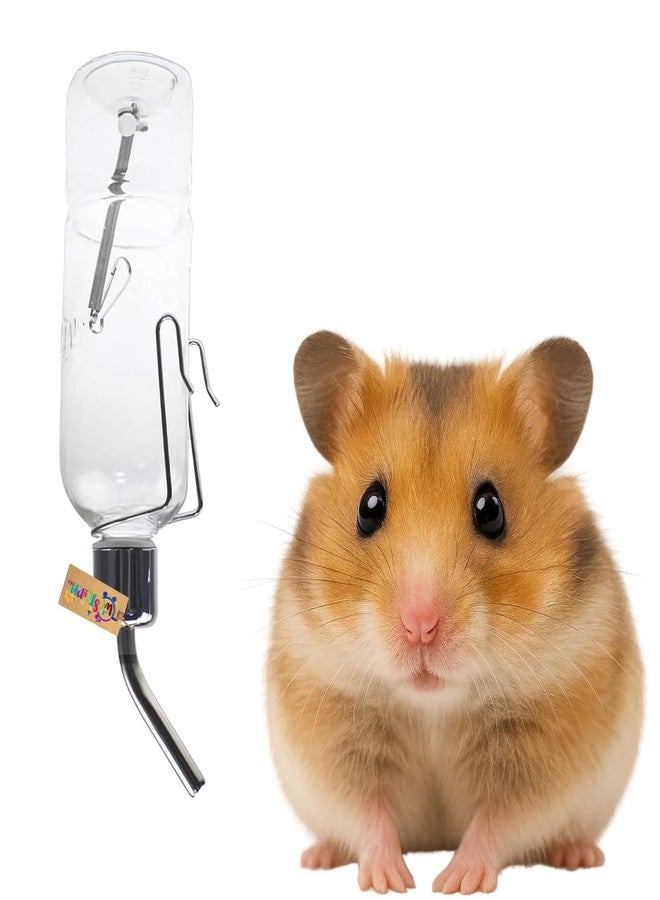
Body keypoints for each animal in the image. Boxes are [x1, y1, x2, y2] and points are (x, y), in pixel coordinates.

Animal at [267, 331, 643, 894]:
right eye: (369, 506)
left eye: (491, 509)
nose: (420, 624)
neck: (434, 705)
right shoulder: (332, 731)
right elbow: (367, 812)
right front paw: (389, 881)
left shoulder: (545, 751)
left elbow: (498, 819)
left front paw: (454, 882)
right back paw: (318, 856)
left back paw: (578, 855)